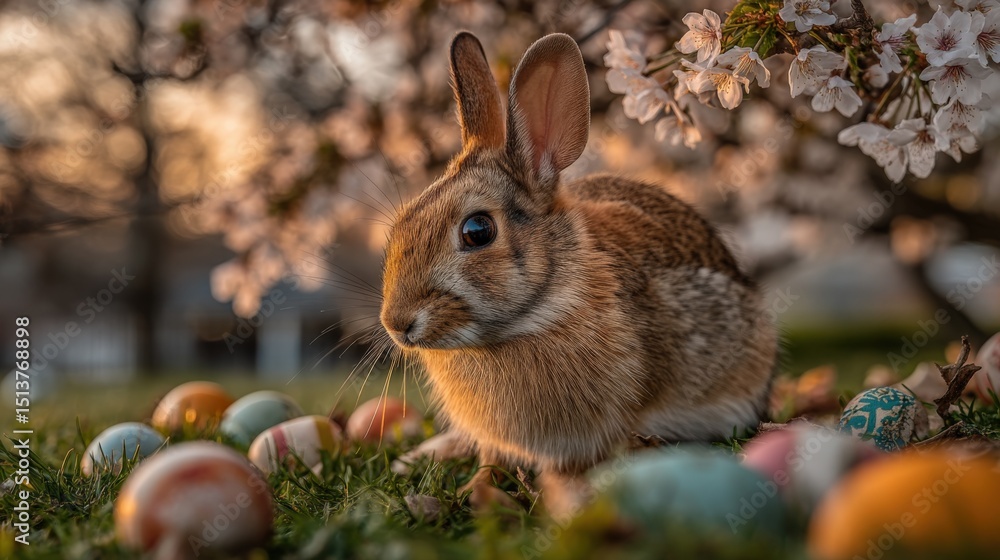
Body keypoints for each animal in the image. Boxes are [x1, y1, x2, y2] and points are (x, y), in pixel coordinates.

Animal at [379, 31, 778, 510]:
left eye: (478, 231)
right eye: (401, 224)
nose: (396, 323)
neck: (535, 316)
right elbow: (490, 461)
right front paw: (475, 488)